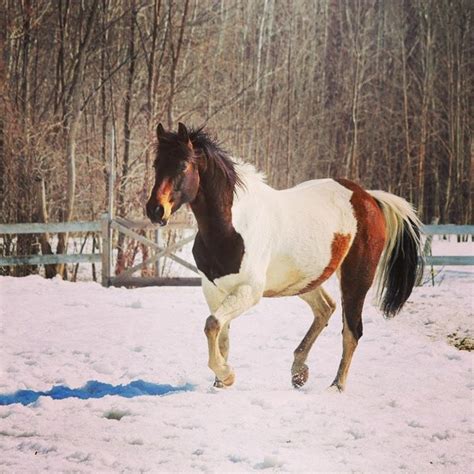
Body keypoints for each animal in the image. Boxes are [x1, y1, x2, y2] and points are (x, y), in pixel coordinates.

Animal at [144, 123, 422, 392]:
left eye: (183, 165)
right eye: (156, 164)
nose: (155, 210)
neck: (233, 226)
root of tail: (368, 197)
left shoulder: (249, 290)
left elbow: (212, 324)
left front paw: (227, 375)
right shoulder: (213, 290)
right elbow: (220, 334)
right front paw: (220, 383)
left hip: (356, 278)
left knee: (352, 330)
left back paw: (336, 386)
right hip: (305, 280)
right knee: (326, 308)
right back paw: (299, 372)